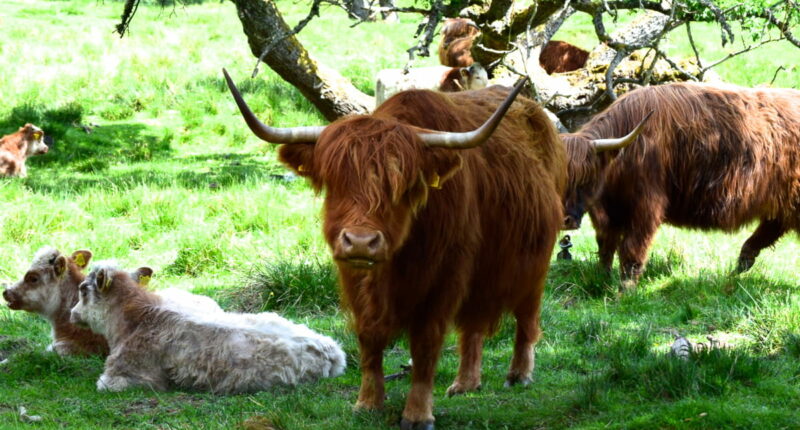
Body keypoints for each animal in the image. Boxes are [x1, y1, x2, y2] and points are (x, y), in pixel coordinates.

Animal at [222, 69, 564, 428]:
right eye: (334, 181)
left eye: (401, 186)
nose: (361, 241)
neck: (397, 265)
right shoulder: (356, 278)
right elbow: (369, 338)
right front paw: (368, 402)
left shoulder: (445, 277)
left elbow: (425, 344)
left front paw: (417, 413)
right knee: (473, 323)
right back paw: (465, 383)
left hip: (534, 259)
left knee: (527, 314)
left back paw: (519, 374)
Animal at [560, 82, 800, 288]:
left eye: (585, 179)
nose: (565, 220)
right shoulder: (607, 213)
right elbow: (605, 245)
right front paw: (602, 277)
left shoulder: (646, 207)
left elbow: (631, 249)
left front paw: (625, 290)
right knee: (770, 229)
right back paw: (738, 268)